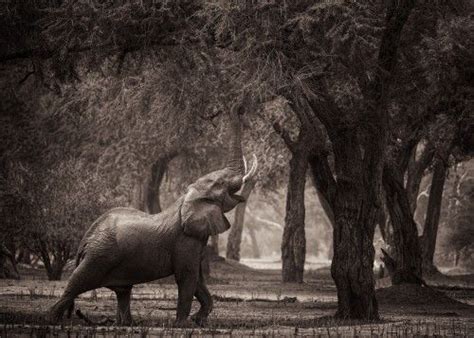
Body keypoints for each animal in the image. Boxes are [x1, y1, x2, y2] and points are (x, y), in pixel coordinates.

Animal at [48, 150, 258, 324]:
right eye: (220, 184)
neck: (185, 200)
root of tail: (88, 236)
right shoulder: (184, 240)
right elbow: (187, 277)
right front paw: (184, 325)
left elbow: (198, 280)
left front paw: (198, 320)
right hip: (99, 255)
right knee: (78, 281)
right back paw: (52, 320)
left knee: (123, 291)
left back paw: (127, 324)